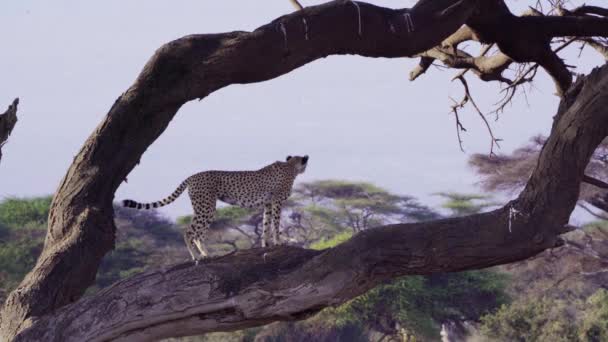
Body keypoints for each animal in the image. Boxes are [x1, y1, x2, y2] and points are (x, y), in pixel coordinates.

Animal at [121, 156, 308, 262]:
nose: (306, 167)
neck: (290, 166)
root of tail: (193, 176)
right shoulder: (276, 201)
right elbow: (275, 224)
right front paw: (279, 242)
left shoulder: (267, 203)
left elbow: (266, 225)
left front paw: (265, 245)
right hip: (207, 206)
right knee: (190, 231)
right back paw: (197, 256)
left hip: (204, 207)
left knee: (198, 233)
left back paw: (205, 254)